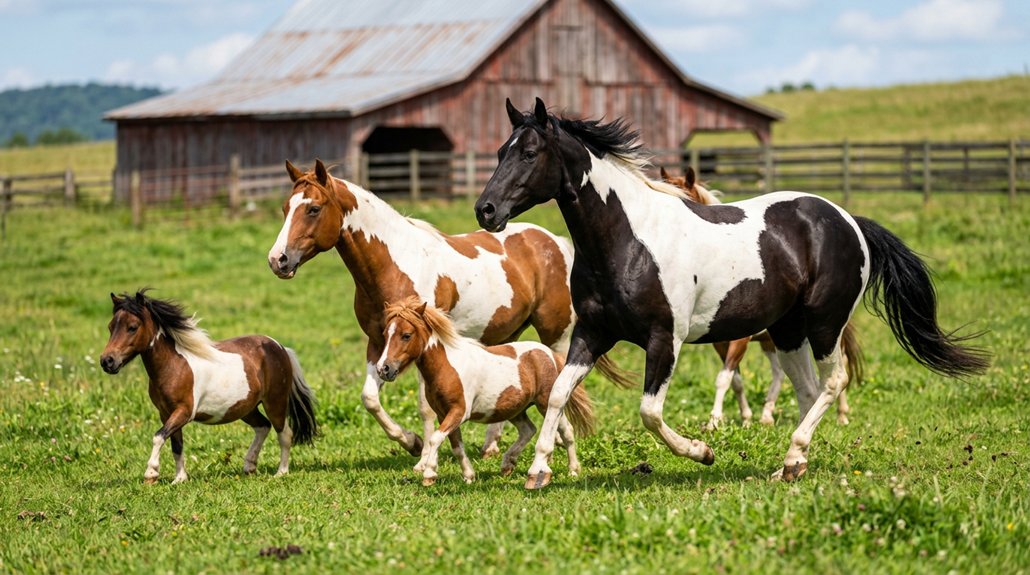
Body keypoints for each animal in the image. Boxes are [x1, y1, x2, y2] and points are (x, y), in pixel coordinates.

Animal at [100, 290, 318, 484]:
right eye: (110, 327)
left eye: (132, 327)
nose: (107, 361)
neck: (174, 366)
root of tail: (279, 347)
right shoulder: (166, 413)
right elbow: (176, 445)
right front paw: (180, 479)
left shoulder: (184, 412)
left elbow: (159, 436)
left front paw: (151, 474)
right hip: (246, 408)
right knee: (263, 426)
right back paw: (249, 466)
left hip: (275, 402)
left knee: (284, 433)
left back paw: (281, 472)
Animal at [267, 159, 629, 459]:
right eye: (285, 207)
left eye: (313, 208)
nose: (277, 260)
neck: (393, 264)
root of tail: (553, 242)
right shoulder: (379, 343)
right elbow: (370, 398)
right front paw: (411, 442)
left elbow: (425, 408)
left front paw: (425, 450)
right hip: (507, 333)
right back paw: (492, 446)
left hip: (556, 336)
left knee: (561, 387)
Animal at [375, 296, 594, 486]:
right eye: (385, 334)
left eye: (406, 335)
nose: (383, 369)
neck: (448, 366)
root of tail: (549, 354)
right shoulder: (444, 413)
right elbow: (456, 446)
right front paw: (468, 475)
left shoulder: (459, 412)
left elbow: (436, 437)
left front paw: (429, 474)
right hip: (515, 410)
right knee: (528, 430)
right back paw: (507, 464)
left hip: (545, 403)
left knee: (566, 430)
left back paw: (573, 470)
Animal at [660, 166, 864, 428]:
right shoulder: (721, 343)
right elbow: (734, 380)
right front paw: (745, 417)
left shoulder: (741, 341)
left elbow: (723, 379)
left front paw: (714, 421)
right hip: (773, 340)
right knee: (779, 373)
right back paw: (767, 415)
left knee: (841, 362)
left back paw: (842, 414)